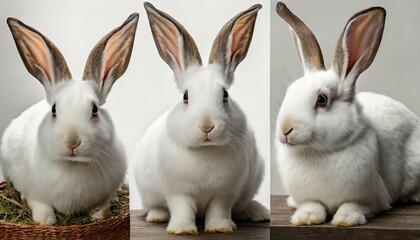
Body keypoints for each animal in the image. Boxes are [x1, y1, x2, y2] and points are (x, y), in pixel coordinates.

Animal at [1, 14, 139, 225]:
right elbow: (38, 203)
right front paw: (45, 221)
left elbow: (102, 206)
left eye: (94, 109)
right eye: (54, 110)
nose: (72, 142)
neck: (73, 164)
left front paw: (99, 215)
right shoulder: (35, 193)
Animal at [135, 1, 270, 234]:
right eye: (185, 96)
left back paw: (257, 213)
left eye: (225, 95)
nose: (207, 127)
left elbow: (219, 210)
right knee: (155, 206)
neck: (205, 151)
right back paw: (157, 217)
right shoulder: (178, 191)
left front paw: (220, 228)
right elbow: (181, 208)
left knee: (242, 205)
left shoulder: (224, 193)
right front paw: (181, 230)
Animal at [276, 1, 420, 227]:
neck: (318, 152)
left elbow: (353, 205)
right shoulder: (308, 197)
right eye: (289, 92)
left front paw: (345, 219)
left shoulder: (370, 197)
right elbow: (311, 204)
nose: (285, 130)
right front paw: (306, 218)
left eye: (322, 100)